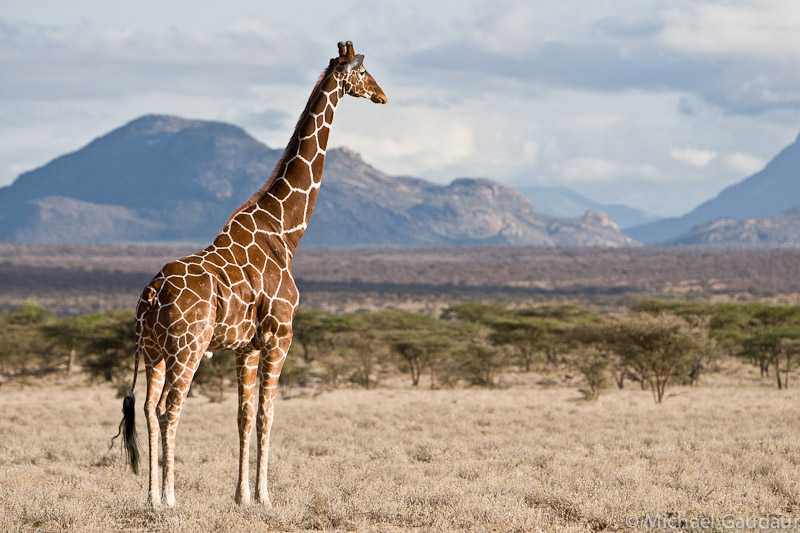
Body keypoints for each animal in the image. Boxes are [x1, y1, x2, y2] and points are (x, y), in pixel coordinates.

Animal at [112, 41, 388, 508]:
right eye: (365, 71)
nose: (382, 96)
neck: (285, 232)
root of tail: (152, 292)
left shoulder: (247, 347)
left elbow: (242, 416)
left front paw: (241, 496)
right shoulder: (280, 335)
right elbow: (266, 414)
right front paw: (265, 496)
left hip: (152, 350)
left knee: (149, 409)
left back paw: (150, 497)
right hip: (188, 348)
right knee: (169, 408)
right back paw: (170, 498)